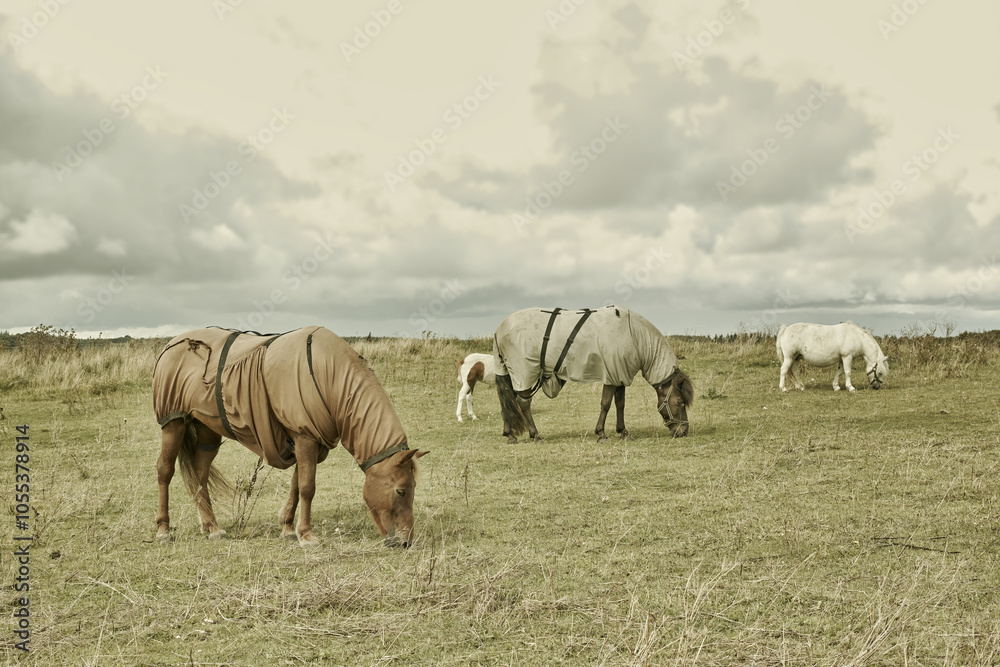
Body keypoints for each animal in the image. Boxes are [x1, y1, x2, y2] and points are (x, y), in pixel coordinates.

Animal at [151, 326, 428, 548]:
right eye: (401, 490)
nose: (405, 541)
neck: (325, 373)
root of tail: (172, 344)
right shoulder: (305, 437)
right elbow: (307, 488)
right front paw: (306, 535)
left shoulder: (308, 442)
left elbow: (297, 486)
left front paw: (287, 528)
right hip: (173, 422)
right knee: (165, 470)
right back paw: (164, 529)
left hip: (208, 429)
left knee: (200, 474)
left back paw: (211, 526)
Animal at [492, 305, 694, 443]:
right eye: (680, 402)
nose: (683, 432)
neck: (632, 334)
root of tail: (499, 329)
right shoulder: (611, 375)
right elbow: (606, 404)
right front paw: (601, 433)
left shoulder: (619, 375)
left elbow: (620, 404)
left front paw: (623, 432)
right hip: (524, 372)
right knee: (523, 404)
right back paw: (535, 435)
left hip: (510, 373)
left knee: (508, 402)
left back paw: (510, 435)